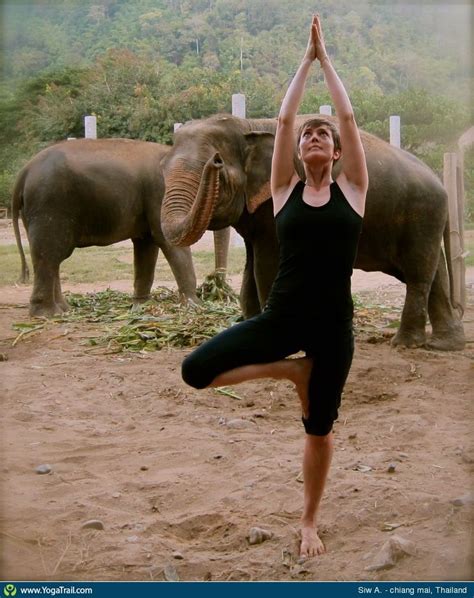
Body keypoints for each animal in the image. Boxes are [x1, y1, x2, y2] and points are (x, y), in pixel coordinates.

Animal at [12, 139, 231, 318]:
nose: (218, 287)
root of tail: (24, 172)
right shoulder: (159, 194)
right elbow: (167, 242)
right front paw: (196, 306)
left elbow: (146, 246)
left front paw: (141, 308)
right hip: (49, 205)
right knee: (49, 254)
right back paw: (48, 315)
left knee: (52, 257)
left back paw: (64, 310)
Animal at [161, 113, 464, 352]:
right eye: (163, 172)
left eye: (219, 169)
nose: (215, 161)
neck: (249, 125)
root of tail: (440, 182)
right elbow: (250, 270)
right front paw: (246, 330)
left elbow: (266, 267)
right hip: (422, 220)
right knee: (434, 273)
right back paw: (444, 345)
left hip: (421, 214)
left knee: (418, 274)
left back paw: (405, 344)